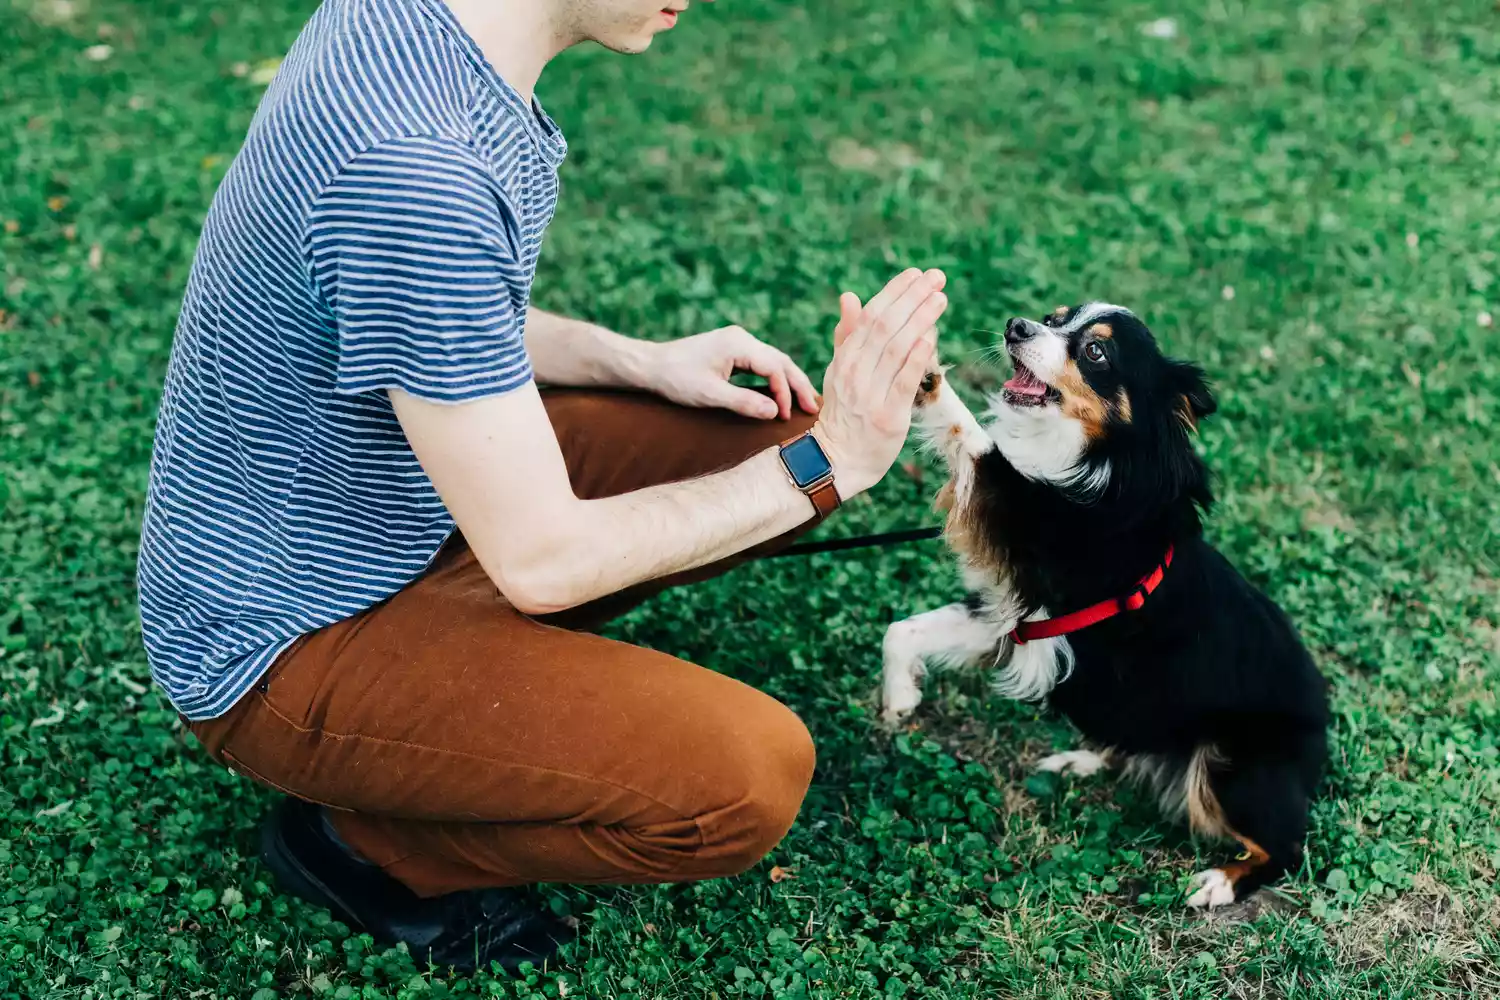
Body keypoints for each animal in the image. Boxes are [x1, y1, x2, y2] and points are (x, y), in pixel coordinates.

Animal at [882, 302, 1332, 905]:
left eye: (1096, 352)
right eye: (1053, 318)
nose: (1016, 327)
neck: (1093, 457)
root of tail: (1322, 731)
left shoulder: (1032, 525)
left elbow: (976, 440)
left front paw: (923, 368)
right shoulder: (1015, 614)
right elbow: (901, 630)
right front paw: (899, 699)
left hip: (1234, 764)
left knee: (1286, 847)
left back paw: (1220, 883)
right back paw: (1080, 760)